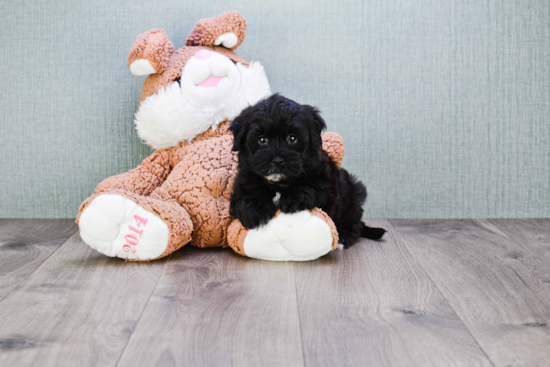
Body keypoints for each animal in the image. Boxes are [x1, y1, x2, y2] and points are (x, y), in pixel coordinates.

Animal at [231, 95, 386, 249]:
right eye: (262, 140)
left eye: (292, 138)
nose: (278, 160)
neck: (280, 182)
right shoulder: (242, 184)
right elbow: (247, 196)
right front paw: (255, 211)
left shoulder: (328, 188)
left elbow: (310, 189)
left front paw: (293, 197)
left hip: (353, 192)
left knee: (354, 223)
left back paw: (343, 237)